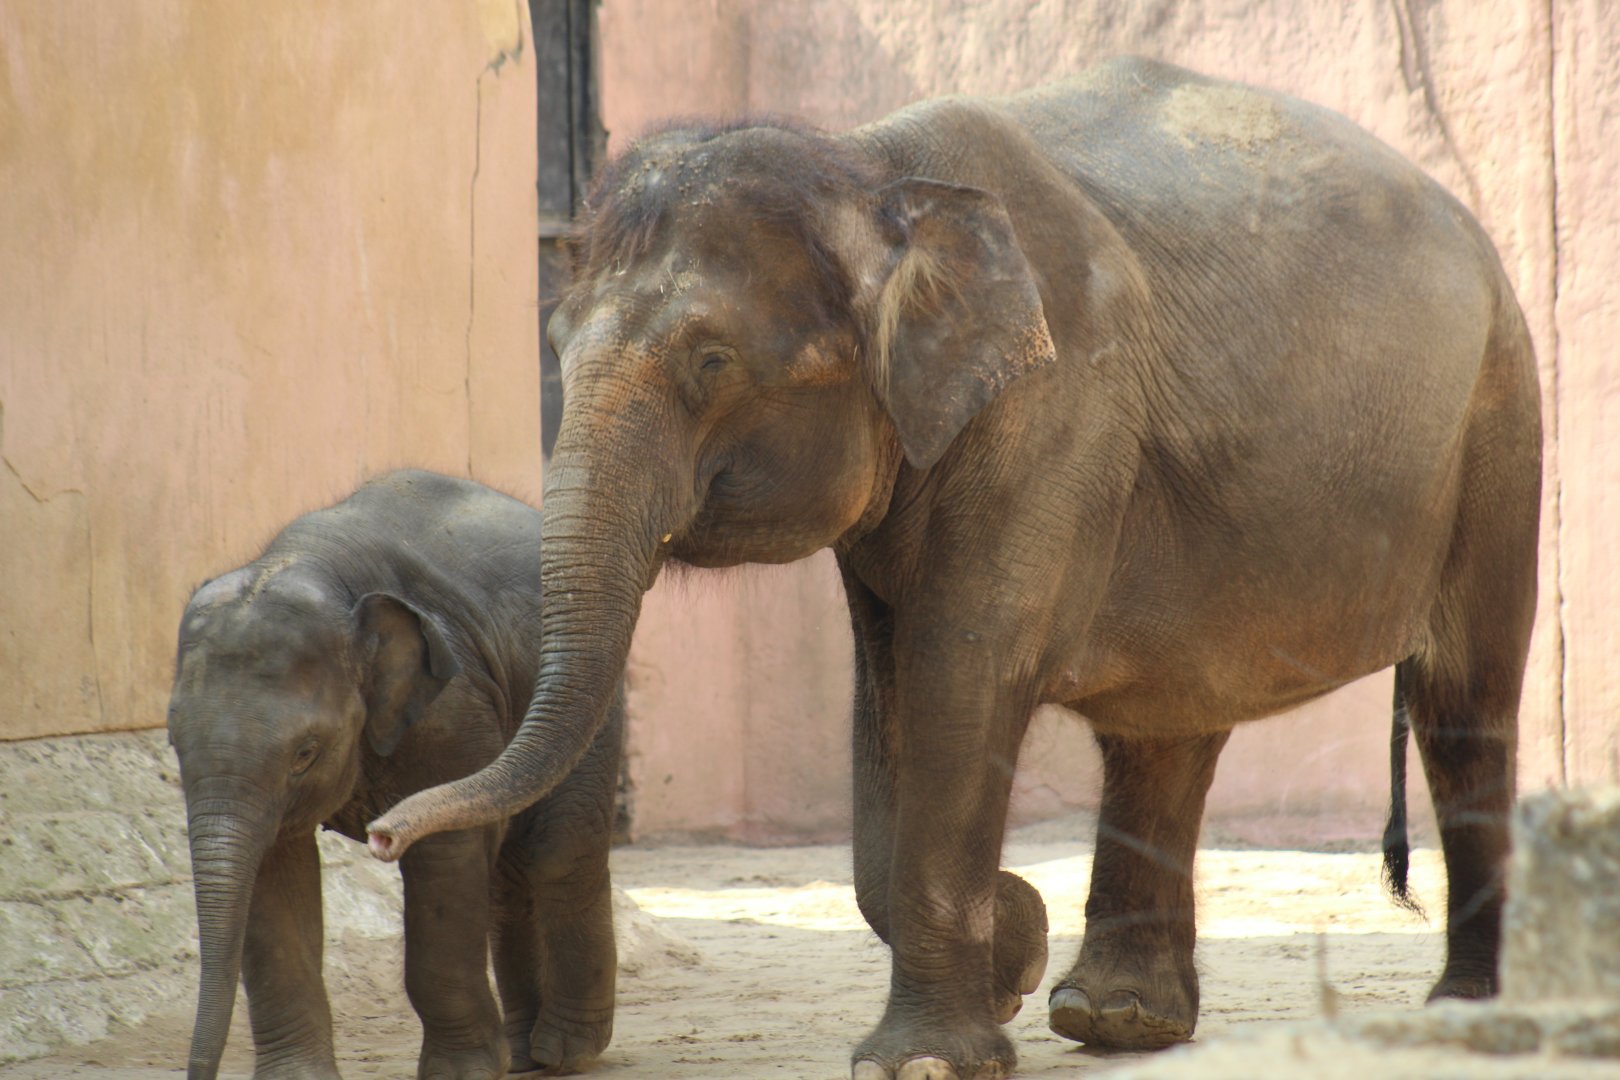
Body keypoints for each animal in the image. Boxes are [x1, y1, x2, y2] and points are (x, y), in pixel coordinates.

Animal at [168, 470, 622, 1080]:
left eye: (305, 752)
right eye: (173, 741)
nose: (382, 835)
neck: (311, 562)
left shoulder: (452, 709)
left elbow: (445, 860)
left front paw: (463, 1072)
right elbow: (274, 870)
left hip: (591, 705)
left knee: (557, 851)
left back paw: (566, 1052)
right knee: (509, 870)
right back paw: (526, 1054)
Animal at [366, 58, 1542, 1079]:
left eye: (711, 361)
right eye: (553, 346)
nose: (380, 834)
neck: (870, 174)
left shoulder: (1056, 410)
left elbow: (959, 674)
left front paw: (936, 1047)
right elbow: (890, 692)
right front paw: (1011, 955)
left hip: (1500, 419)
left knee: (1464, 703)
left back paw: (1458, 1013)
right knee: (1168, 727)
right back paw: (1115, 1020)